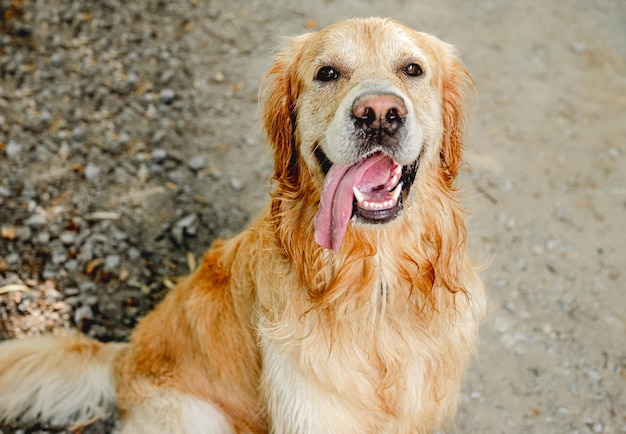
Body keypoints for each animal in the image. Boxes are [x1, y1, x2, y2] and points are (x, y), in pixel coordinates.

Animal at [0, 17, 482, 434]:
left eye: (412, 69)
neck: (374, 279)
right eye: (327, 73)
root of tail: (124, 355)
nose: (379, 113)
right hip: (196, 416)